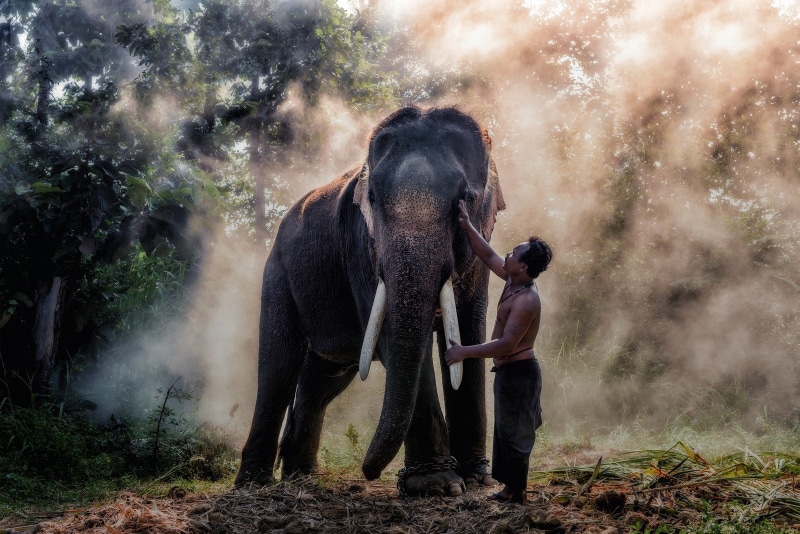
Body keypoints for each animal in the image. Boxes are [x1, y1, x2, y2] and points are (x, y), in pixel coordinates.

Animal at [235, 106, 506, 496]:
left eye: (465, 199)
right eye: (374, 200)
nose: (369, 473)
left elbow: (471, 333)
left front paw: (477, 480)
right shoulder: (361, 245)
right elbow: (392, 340)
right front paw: (437, 485)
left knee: (324, 377)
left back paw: (302, 476)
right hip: (278, 274)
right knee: (278, 367)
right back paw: (254, 485)